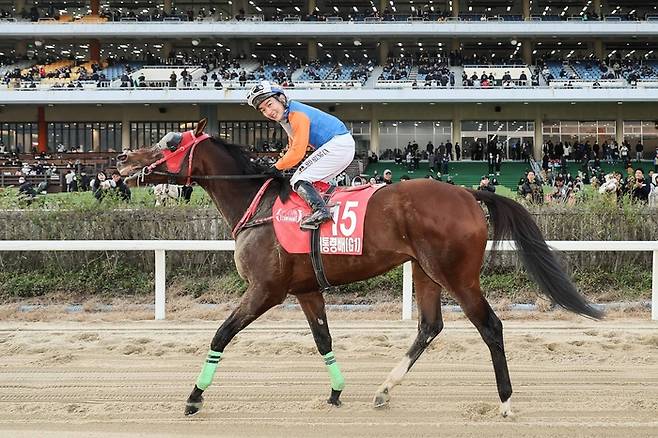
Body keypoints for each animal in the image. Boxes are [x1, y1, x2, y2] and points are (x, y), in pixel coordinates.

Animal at [116, 119, 600, 418]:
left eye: (170, 143)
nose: (121, 160)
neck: (260, 204)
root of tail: (469, 193)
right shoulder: (305, 290)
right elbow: (323, 339)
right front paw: (335, 392)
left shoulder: (265, 290)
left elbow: (221, 334)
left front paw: (194, 398)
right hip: (425, 271)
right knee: (430, 326)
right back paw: (384, 389)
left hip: (458, 275)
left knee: (491, 326)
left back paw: (504, 402)